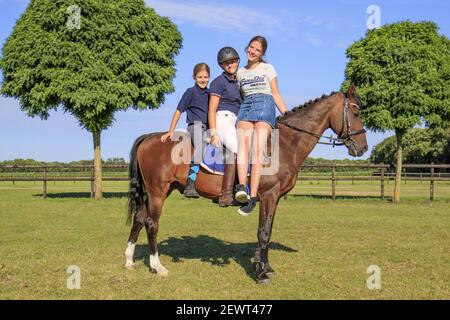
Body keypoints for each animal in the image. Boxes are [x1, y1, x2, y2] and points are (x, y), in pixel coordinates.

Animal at [124, 84, 370, 284]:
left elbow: (267, 230)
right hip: (158, 191)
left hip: (160, 191)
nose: (363, 148)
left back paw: (129, 260)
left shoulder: (274, 198)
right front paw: (260, 272)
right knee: (151, 223)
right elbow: (263, 232)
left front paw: (266, 266)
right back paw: (158, 267)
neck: (282, 144)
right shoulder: (268, 195)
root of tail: (151, 137)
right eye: (356, 111)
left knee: (139, 218)